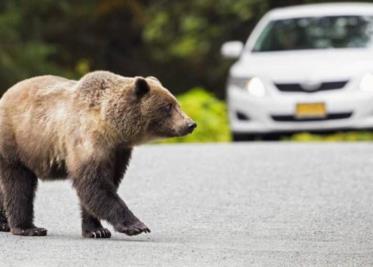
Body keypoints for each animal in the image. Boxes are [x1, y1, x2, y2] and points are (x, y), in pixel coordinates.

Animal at [0, 70, 195, 239]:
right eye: (168, 106)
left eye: (177, 103)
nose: (190, 124)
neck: (112, 128)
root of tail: (4, 95)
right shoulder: (86, 141)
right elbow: (95, 184)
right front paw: (136, 225)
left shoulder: (118, 152)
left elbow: (106, 184)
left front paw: (96, 230)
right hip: (17, 145)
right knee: (18, 186)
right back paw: (28, 228)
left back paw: (5, 224)